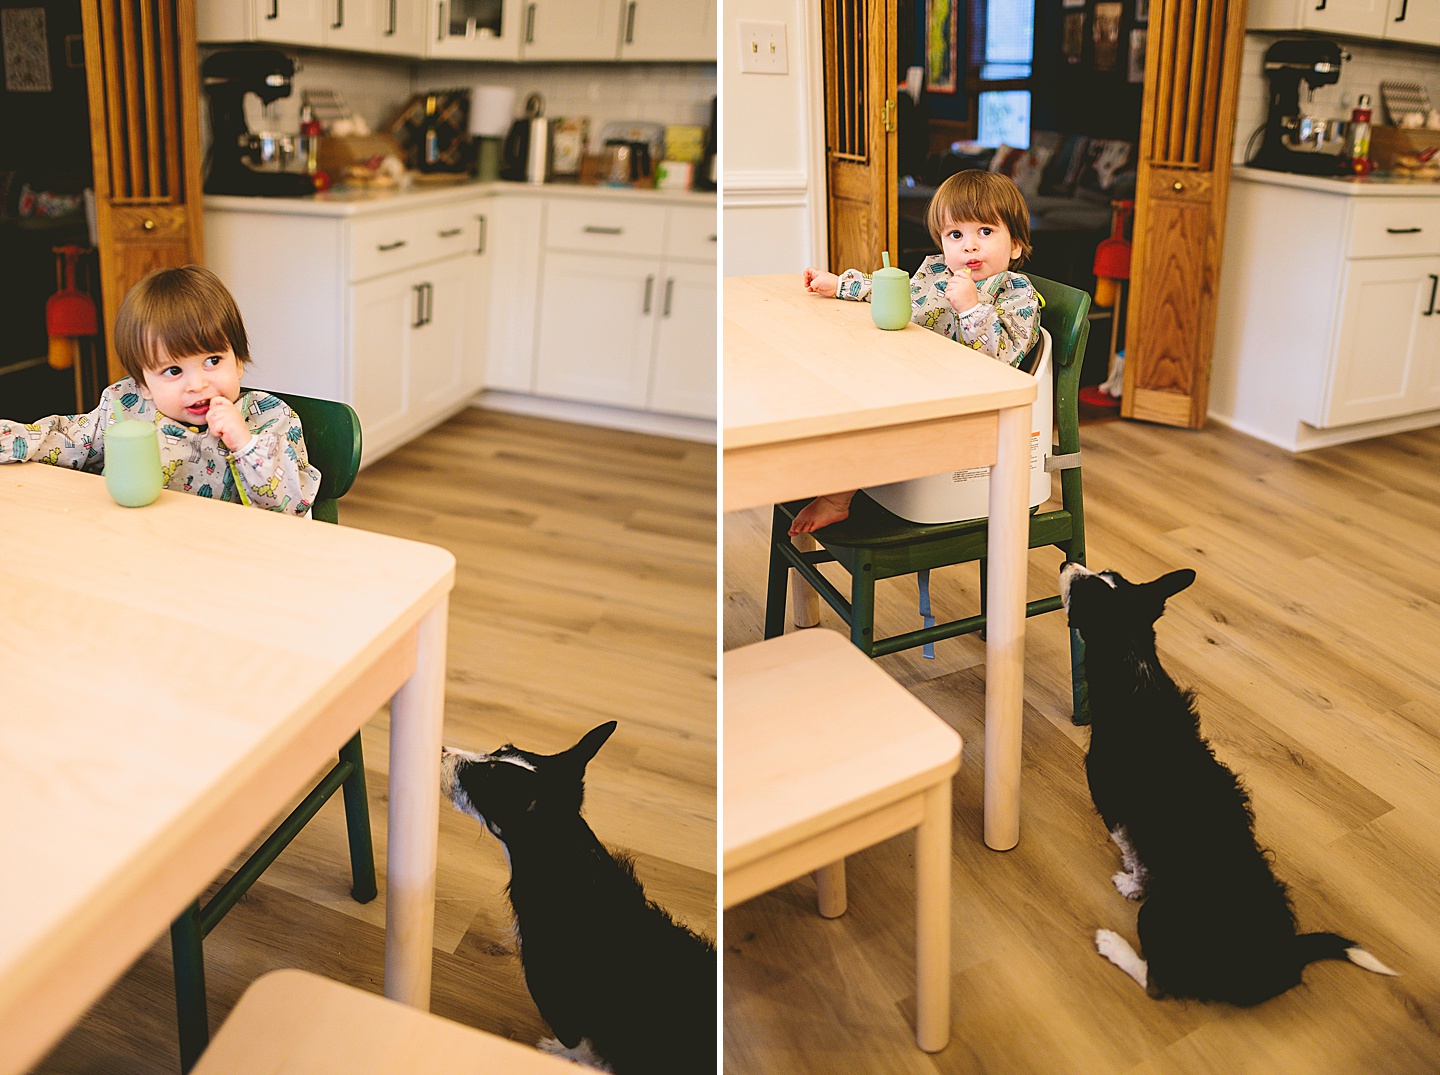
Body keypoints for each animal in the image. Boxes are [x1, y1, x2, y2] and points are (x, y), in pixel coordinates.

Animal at [434, 722, 711, 1075]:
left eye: (485, 782)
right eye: (499, 748)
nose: (440, 748)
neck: (566, 864)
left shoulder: (562, 1011)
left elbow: (581, 1048)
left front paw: (556, 1052)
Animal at [1059, 564, 1393, 1007]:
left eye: (1081, 591)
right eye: (1105, 573)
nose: (1066, 565)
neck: (1134, 667)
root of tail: (1282, 956)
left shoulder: (1111, 802)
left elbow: (1133, 851)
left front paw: (1131, 881)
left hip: (1155, 919)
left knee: (1158, 983)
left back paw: (1113, 944)